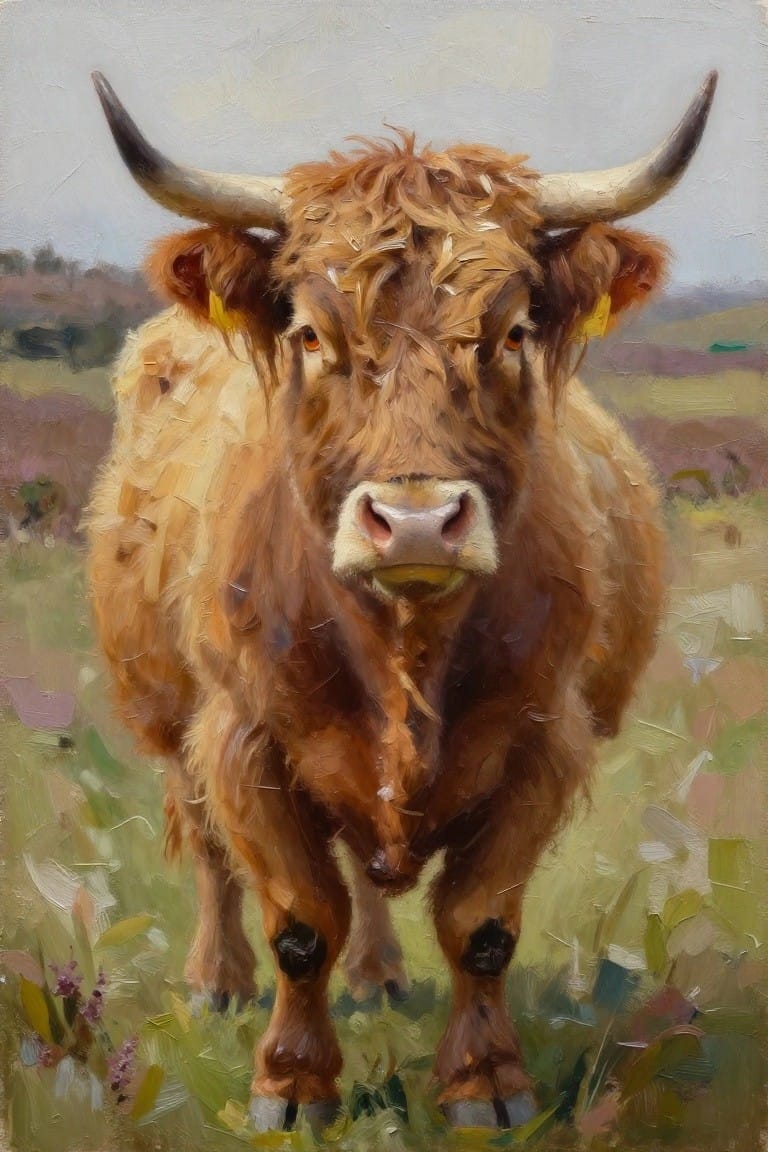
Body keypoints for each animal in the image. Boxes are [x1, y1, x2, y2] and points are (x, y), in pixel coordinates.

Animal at [85, 71, 717, 1134]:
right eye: (310, 333)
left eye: (512, 333)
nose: (417, 523)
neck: (405, 654)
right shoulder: (243, 737)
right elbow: (300, 921)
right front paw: (292, 1087)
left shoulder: (546, 743)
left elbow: (480, 925)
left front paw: (485, 1085)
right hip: (165, 711)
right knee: (209, 848)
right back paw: (217, 982)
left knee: (366, 875)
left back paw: (381, 975)